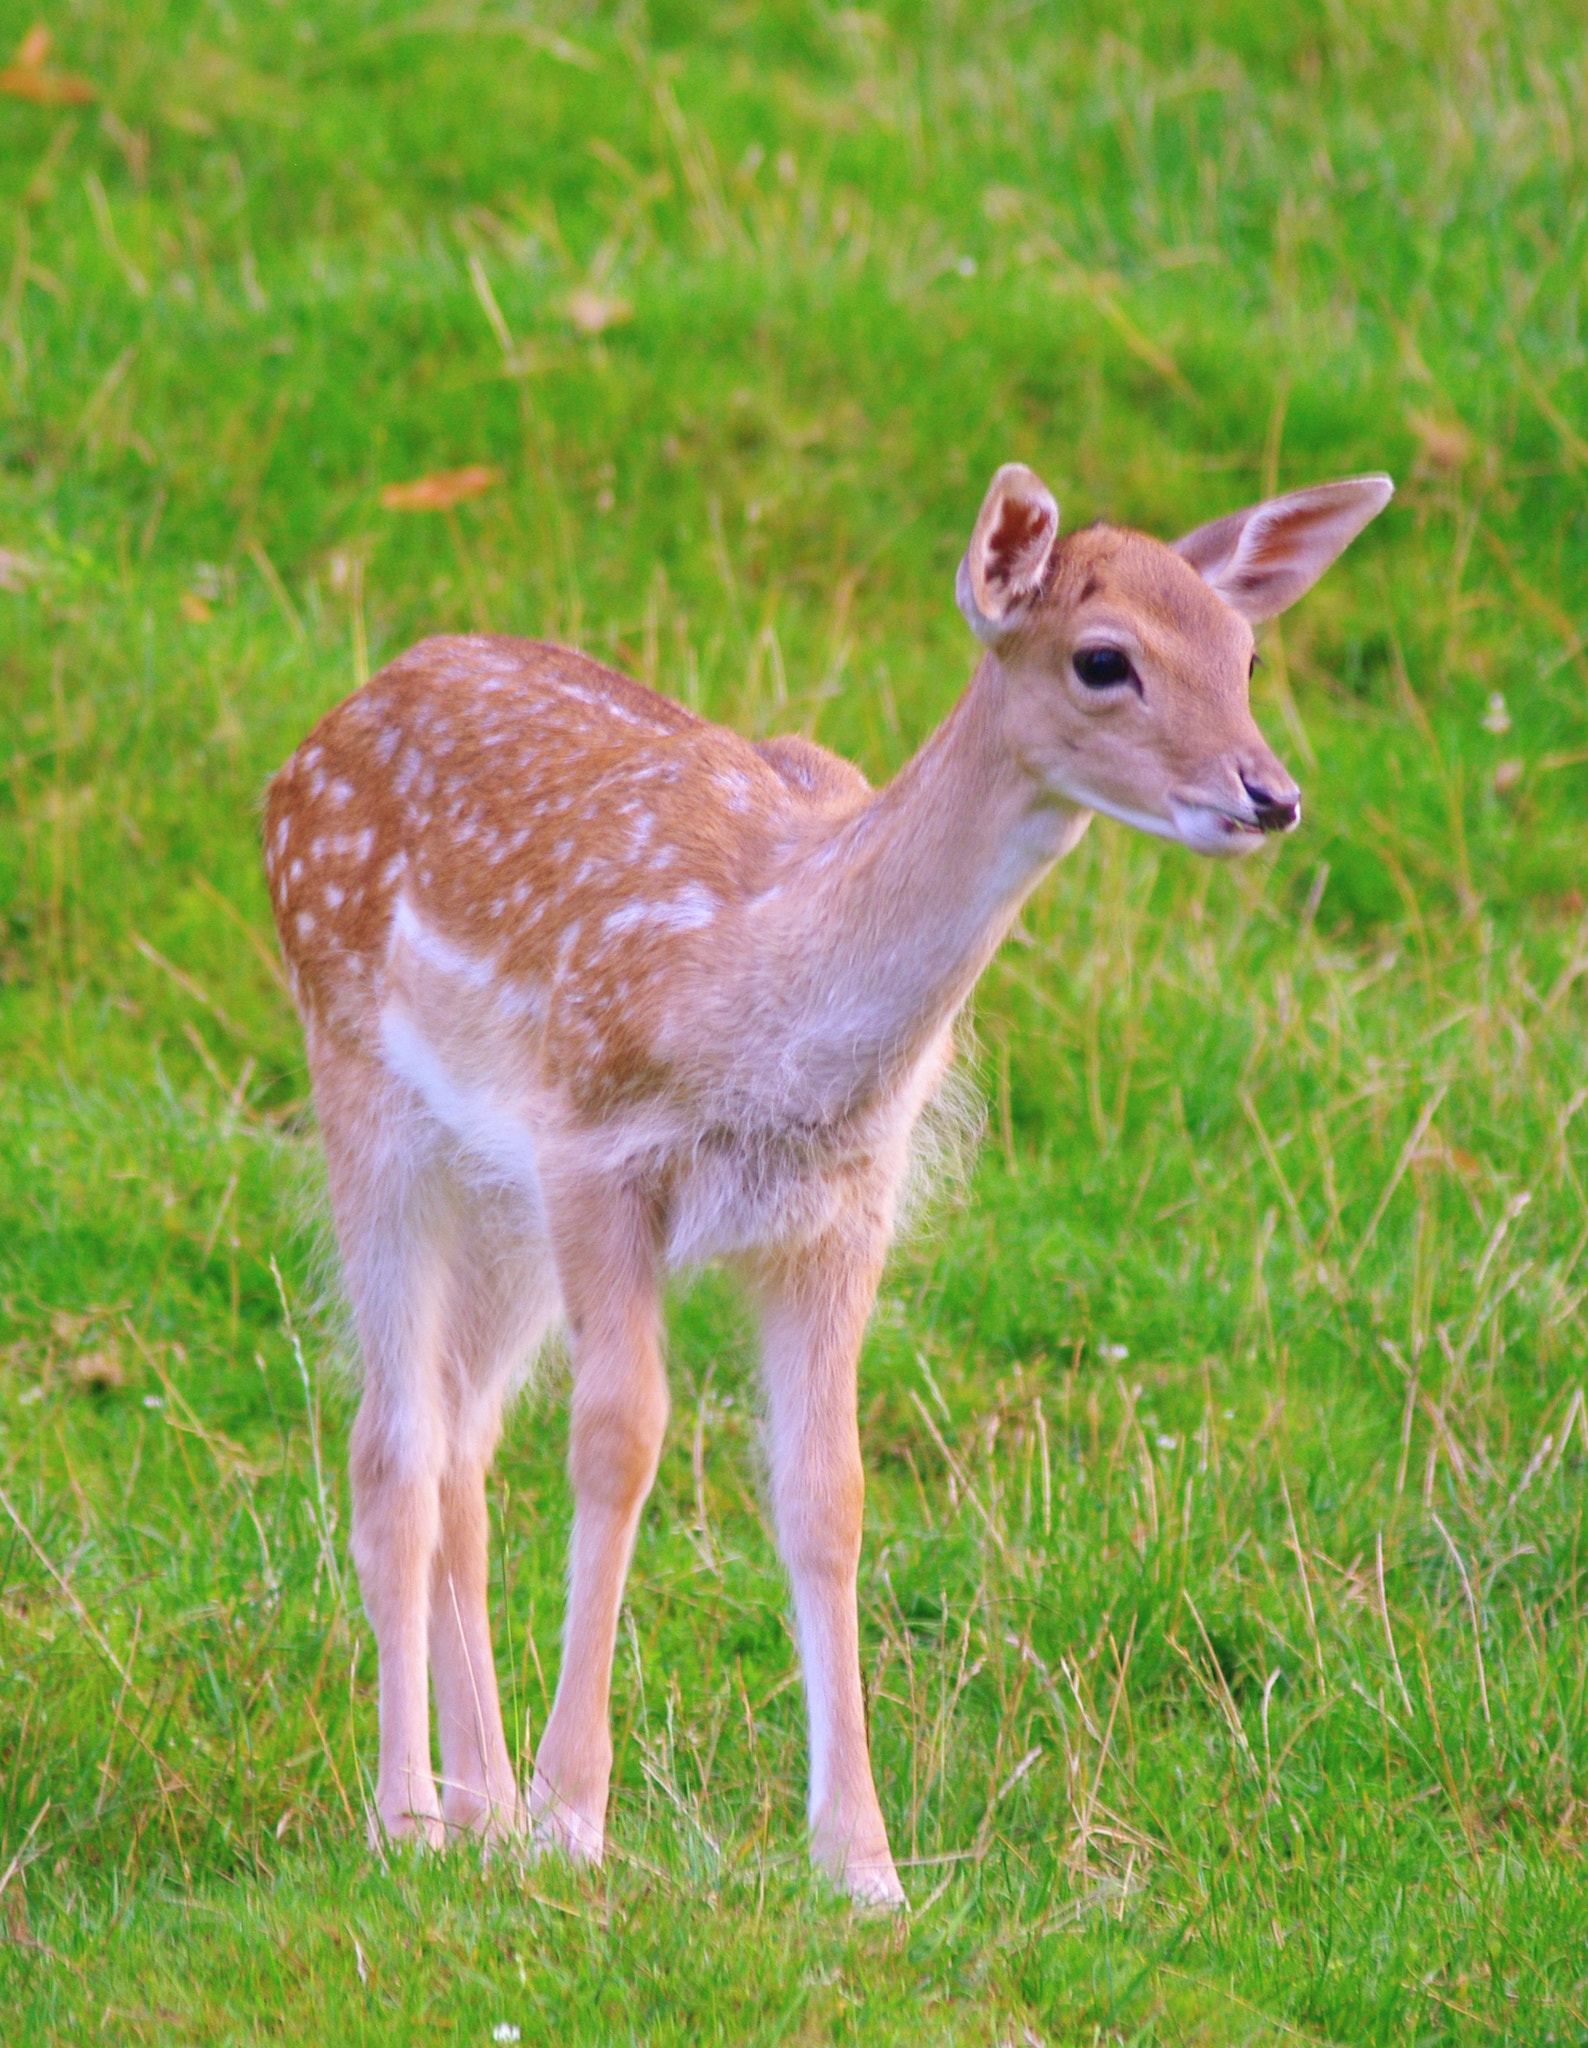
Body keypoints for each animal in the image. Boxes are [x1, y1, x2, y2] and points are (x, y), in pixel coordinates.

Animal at [264, 460, 1392, 1906]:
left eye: (1245, 653)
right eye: (1103, 660)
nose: (1269, 794)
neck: (765, 1004)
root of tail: (308, 749)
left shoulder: (842, 1208)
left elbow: (829, 1493)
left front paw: (863, 1867)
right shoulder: (594, 1150)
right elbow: (619, 1442)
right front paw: (579, 1823)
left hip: (495, 1188)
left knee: (462, 1441)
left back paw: (485, 1809)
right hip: (364, 1081)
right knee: (394, 1446)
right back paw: (412, 1816)